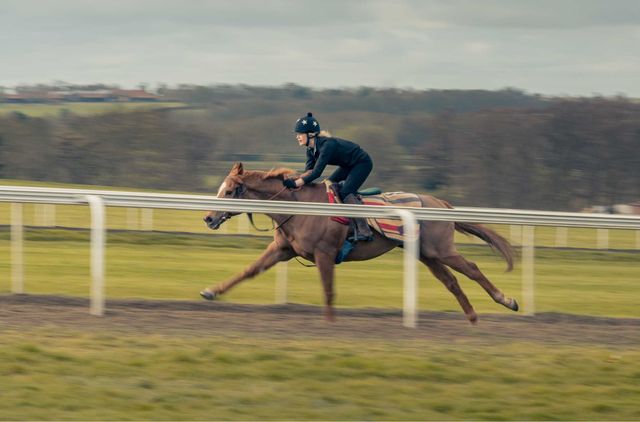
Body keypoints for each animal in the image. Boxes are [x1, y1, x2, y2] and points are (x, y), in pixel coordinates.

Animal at [202, 162, 516, 324]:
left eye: (229, 191)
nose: (208, 217)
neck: (300, 206)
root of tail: (439, 202)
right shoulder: (282, 250)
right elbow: (249, 271)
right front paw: (211, 291)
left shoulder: (325, 253)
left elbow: (328, 290)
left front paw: (330, 324)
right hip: (426, 254)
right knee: (450, 280)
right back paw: (472, 317)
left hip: (440, 249)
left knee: (472, 268)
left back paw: (507, 300)